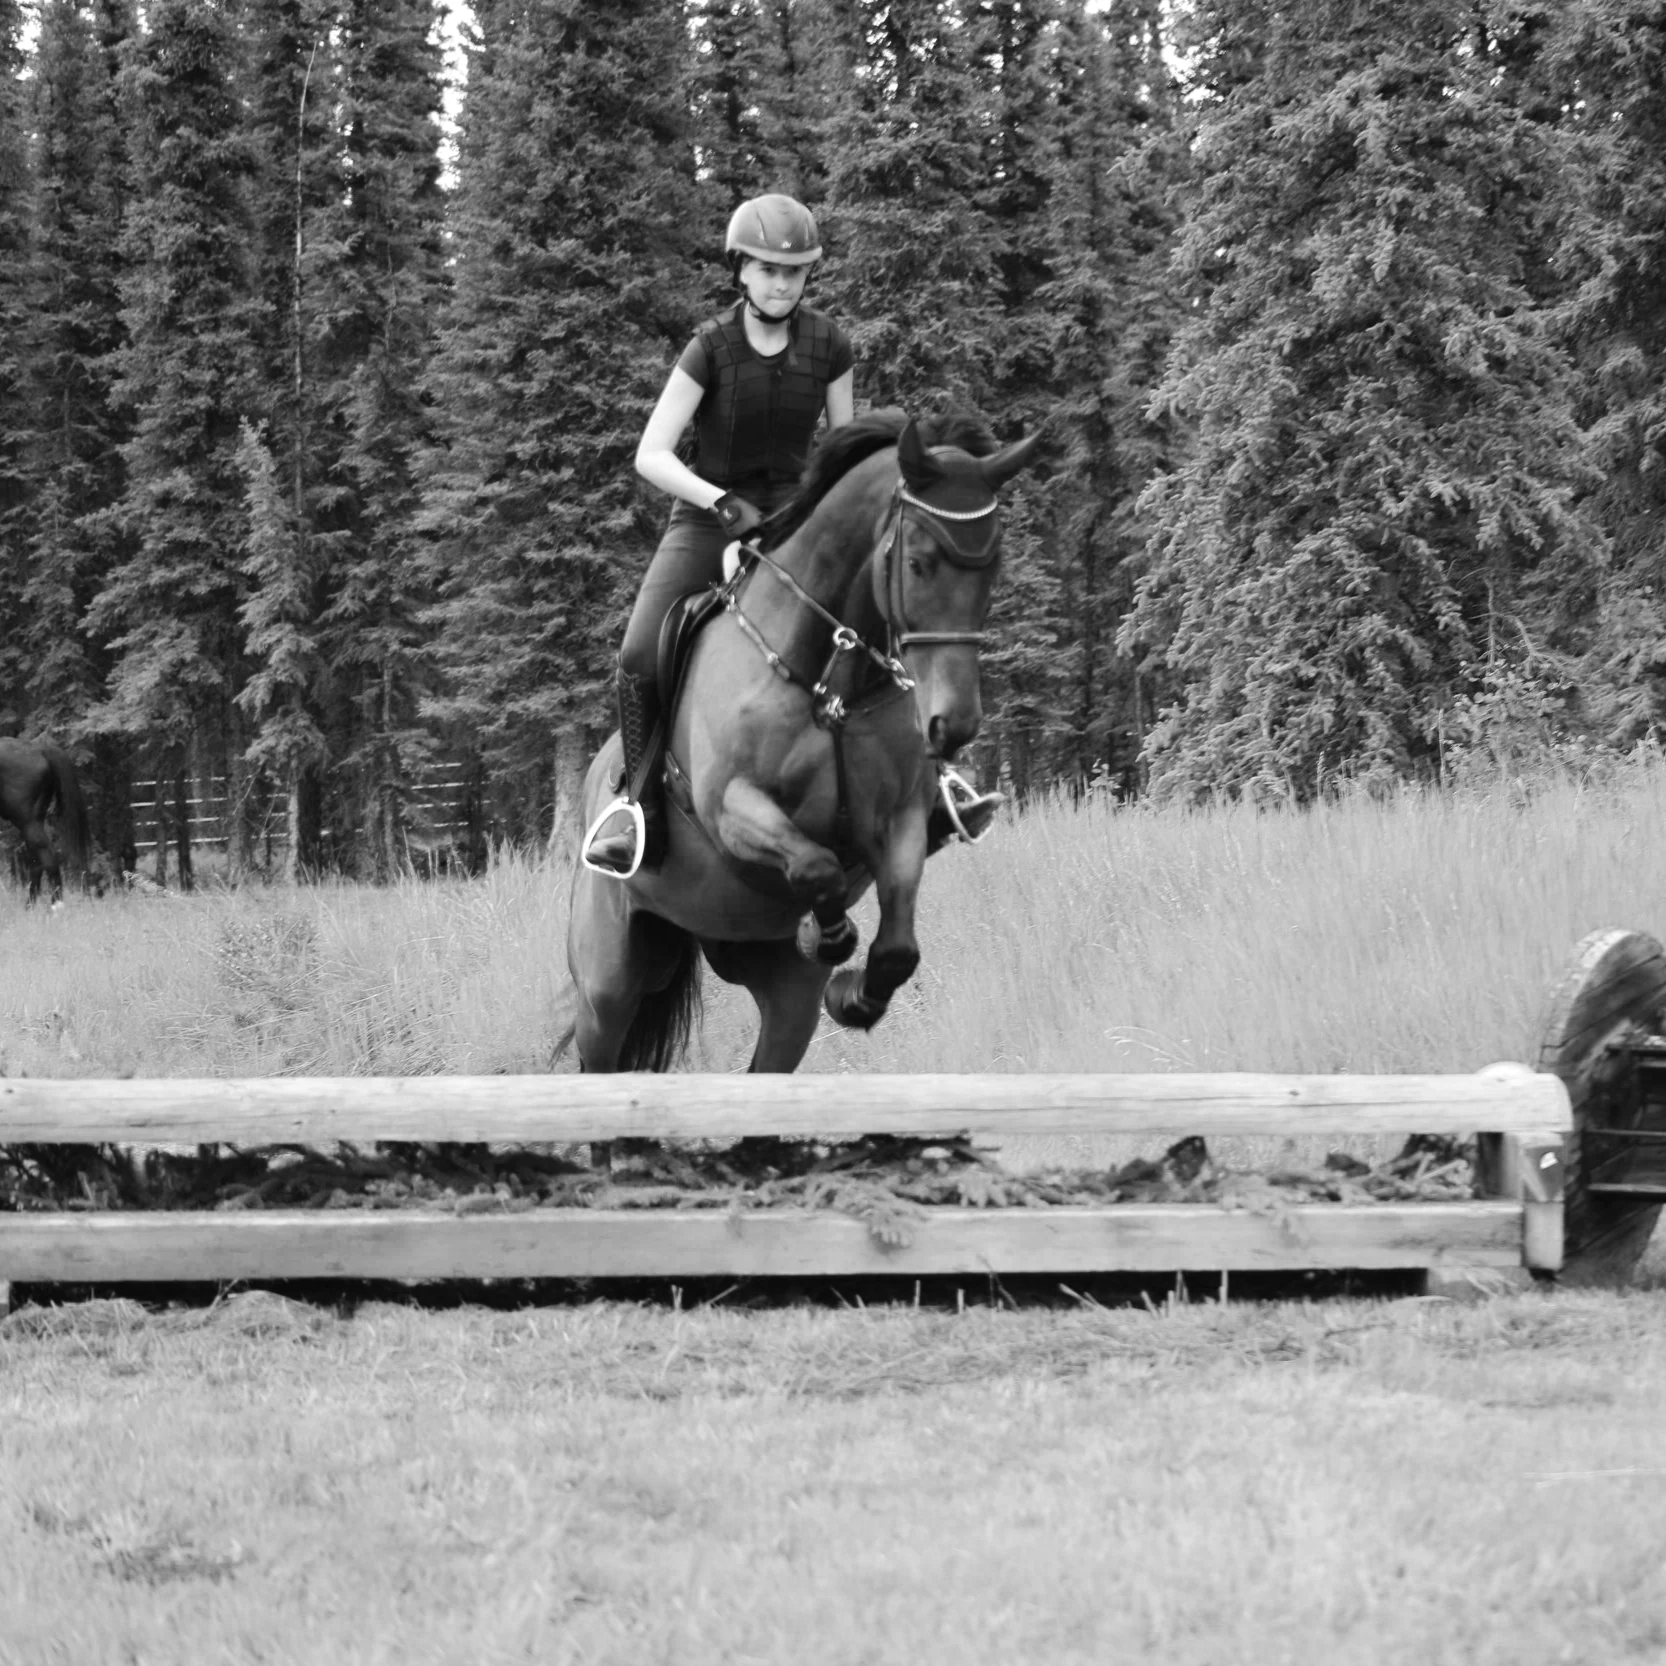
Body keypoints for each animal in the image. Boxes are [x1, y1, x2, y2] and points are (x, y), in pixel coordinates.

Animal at [563, 408, 1041, 1077]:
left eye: (992, 567)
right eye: (918, 562)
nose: (955, 725)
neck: (829, 676)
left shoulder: (900, 818)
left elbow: (897, 946)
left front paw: (853, 992)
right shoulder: (732, 808)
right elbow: (817, 865)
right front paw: (829, 935)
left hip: (777, 991)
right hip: (608, 985)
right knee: (601, 1051)